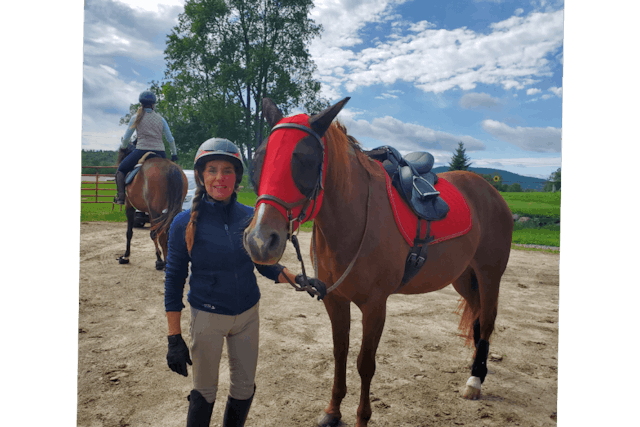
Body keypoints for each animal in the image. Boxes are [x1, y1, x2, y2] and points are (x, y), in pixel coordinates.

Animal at [242, 98, 512, 427]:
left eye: (304, 159)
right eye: (259, 158)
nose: (259, 241)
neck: (354, 219)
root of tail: (490, 191)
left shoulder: (375, 305)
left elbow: (365, 363)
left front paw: (361, 417)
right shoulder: (334, 299)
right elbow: (340, 352)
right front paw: (333, 411)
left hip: (489, 274)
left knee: (487, 319)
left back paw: (475, 380)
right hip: (462, 276)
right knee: (476, 316)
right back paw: (475, 366)